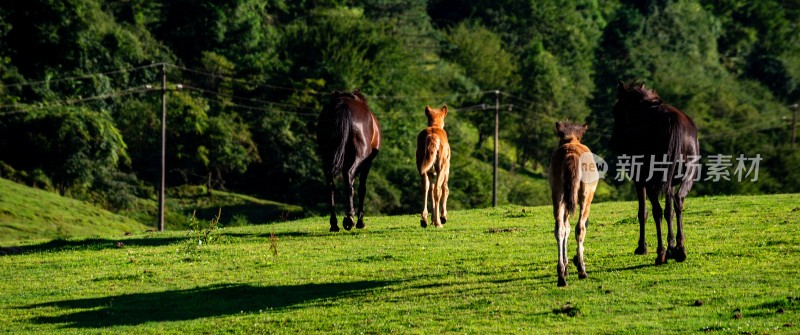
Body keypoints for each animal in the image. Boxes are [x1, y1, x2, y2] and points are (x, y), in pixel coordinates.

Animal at [316, 89, 382, 232]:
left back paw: (334, 223)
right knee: (349, 176)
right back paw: (349, 218)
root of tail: (343, 106)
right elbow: (362, 188)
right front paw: (360, 221)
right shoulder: (368, 162)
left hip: (326, 158)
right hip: (360, 156)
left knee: (331, 185)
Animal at [608, 81, 696, 266]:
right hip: (686, 175)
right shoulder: (668, 182)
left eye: (616, 111)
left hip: (650, 178)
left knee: (657, 211)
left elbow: (643, 212)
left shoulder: (639, 179)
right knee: (678, 202)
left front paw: (642, 247)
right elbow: (669, 211)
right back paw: (680, 249)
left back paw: (661, 253)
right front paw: (672, 247)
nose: (613, 144)